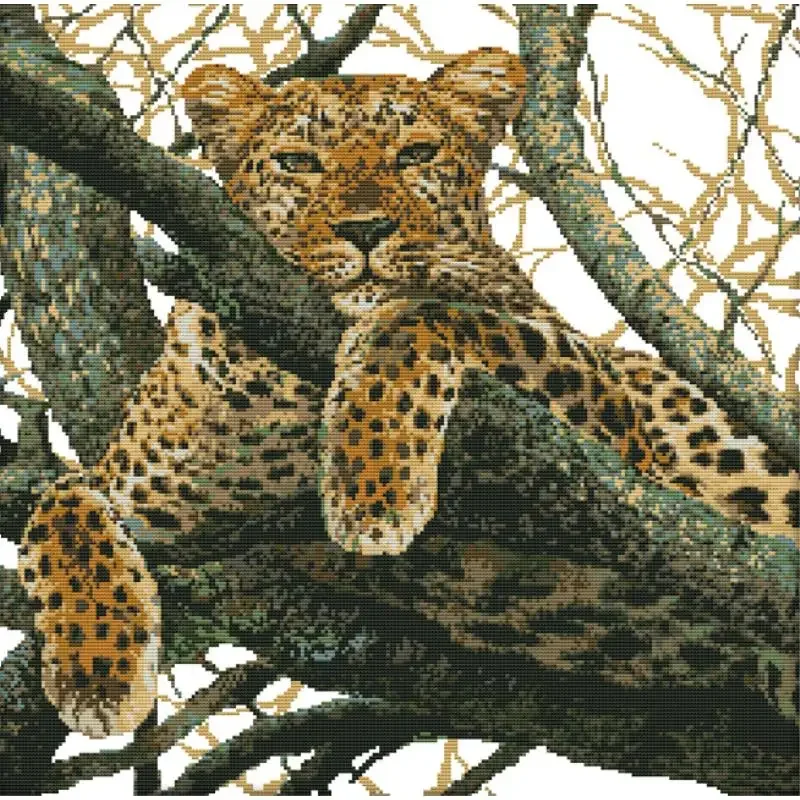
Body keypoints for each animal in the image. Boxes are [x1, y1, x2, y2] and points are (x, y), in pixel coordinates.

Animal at [17, 48, 799, 738]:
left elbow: (416, 315)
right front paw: (94, 674)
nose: (366, 230)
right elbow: (59, 503)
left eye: (415, 155)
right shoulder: (159, 495)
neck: (290, 380)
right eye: (299, 163)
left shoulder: (620, 441)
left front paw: (373, 493)